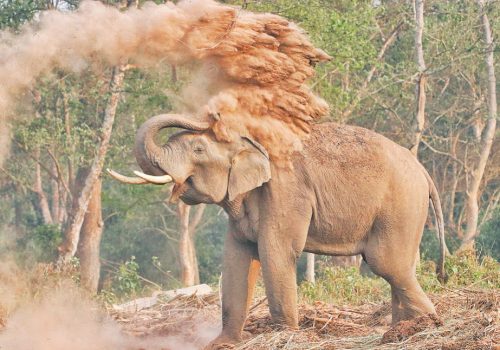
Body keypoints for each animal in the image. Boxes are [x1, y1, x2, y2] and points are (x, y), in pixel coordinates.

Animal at [108, 114, 446, 348]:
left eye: (198, 148)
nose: (211, 115)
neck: (251, 140)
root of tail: (424, 171)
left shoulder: (285, 190)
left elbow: (275, 252)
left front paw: (285, 336)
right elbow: (237, 259)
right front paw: (223, 343)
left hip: (400, 207)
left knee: (388, 264)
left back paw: (431, 324)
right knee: (400, 268)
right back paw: (402, 329)